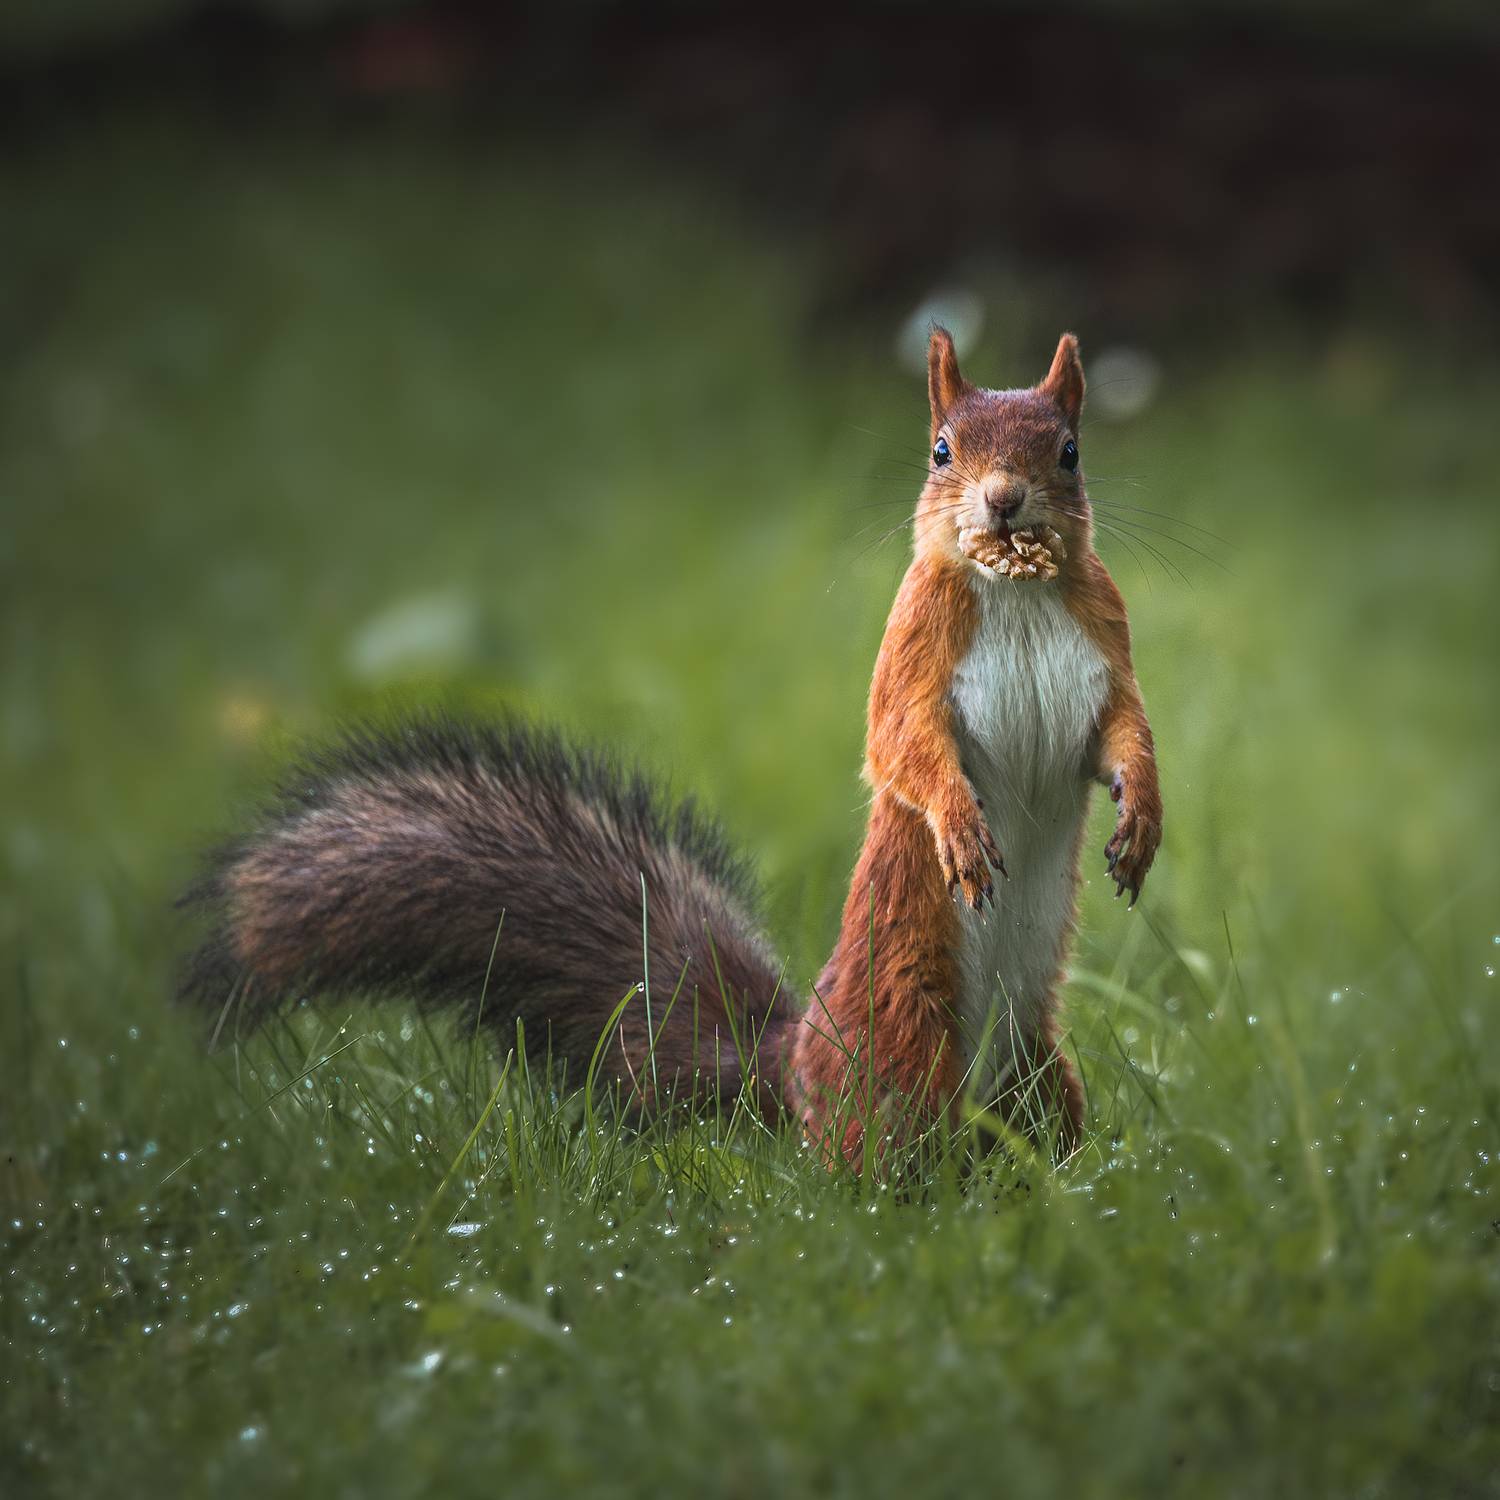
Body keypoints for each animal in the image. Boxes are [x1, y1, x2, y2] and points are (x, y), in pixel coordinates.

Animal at [178, 329, 1161, 1166]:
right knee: (882, 1155)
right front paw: (958, 824)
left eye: (1070, 451)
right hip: (904, 1043)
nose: (1004, 501)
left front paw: (1142, 820)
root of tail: (791, 1061)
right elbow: (901, 747)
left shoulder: (1106, 640)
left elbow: (1122, 735)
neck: (1017, 590)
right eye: (942, 451)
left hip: (1038, 1067)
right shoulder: (914, 649)